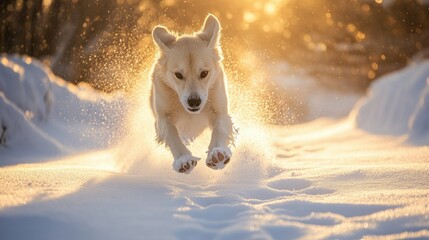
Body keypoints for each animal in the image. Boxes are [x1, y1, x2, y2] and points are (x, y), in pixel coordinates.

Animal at [150, 14, 236, 173]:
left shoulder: (220, 110)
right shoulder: (162, 117)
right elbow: (172, 133)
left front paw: (217, 155)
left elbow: (220, 129)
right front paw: (184, 160)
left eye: (204, 73)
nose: (194, 101)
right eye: (178, 74)